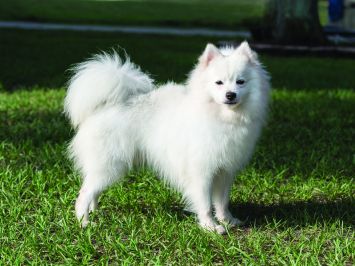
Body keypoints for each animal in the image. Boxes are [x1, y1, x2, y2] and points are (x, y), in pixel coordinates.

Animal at [64, 41, 270, 233]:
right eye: (218, 82)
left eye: (240, 82)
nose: (230, 94)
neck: (223, 117)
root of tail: (105, 105)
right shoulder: (201, 171)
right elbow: (204, 203)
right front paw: (210, 226)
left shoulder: (225, 171)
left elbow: (222, 202)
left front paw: (227, 220)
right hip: (109, 165)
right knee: (84, 193)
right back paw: (84, 221)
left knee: (93, 191)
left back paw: (95, 211)